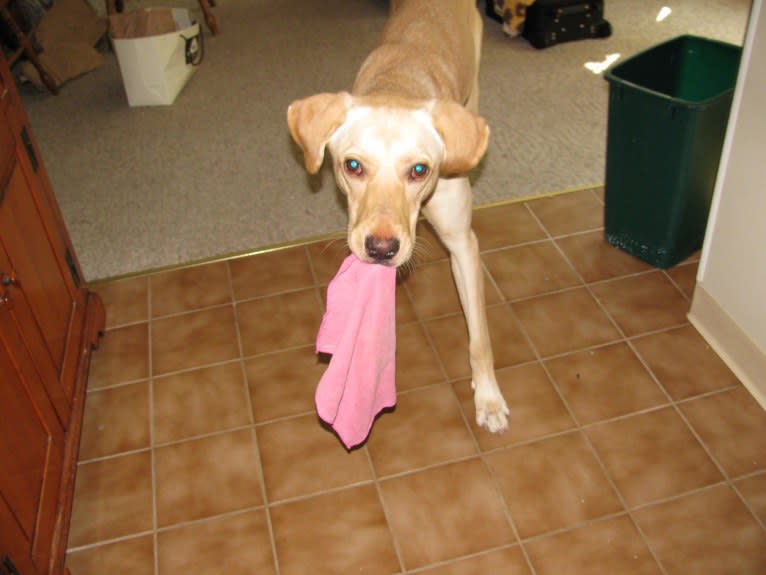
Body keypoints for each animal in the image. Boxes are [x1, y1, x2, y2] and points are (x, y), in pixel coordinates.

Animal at [288, 0, 510, 432]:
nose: (381, 248)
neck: (399, 85)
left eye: (420, 170)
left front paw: (489, 399)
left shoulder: (463, 244)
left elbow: (480, 338)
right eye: (353, 166)